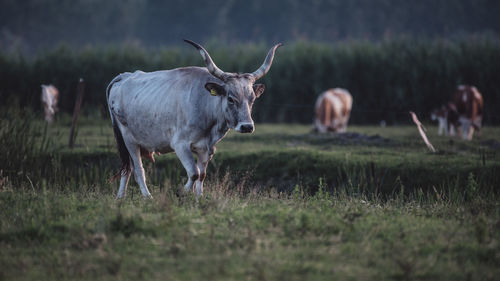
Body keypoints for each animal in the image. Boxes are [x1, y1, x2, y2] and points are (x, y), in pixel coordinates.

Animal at [106, 39, 282, 198]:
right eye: (231, 98)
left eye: (252, 99)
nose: (247, 126)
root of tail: (124, 76)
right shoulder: (180, 144)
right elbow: (194, 173)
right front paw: (181, 193)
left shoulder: (206, 148)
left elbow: (201, 175)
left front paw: (199, 198)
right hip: (128, 138)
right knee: (137, 169)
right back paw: (147, 197)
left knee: (127, 168)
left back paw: (120, 197)